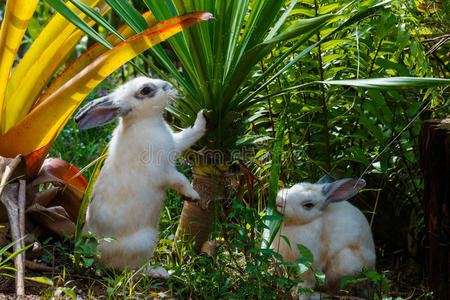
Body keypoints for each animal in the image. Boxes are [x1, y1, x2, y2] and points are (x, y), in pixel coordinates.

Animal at [74, 76, 207, 278]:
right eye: (145, 90)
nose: (170, 85)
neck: (143, 122)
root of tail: (96, 257)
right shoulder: (164, 172)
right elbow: (181, 180)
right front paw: (192, 196)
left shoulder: (175, 145)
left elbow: (189, 135)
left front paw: (203, 117)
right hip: (146, 241)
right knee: (132, 272)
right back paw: (160, 272)